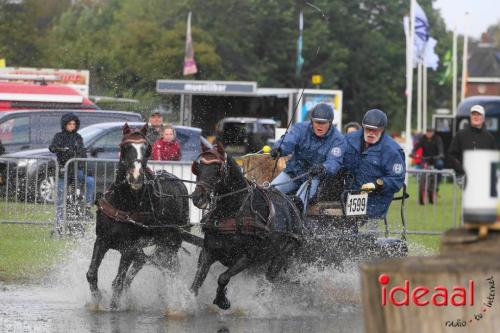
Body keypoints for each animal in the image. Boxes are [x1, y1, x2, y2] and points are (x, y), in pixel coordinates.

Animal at [86, 123, 189, 308]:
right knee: (143, 262)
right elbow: (91, 274)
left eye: (147, 149)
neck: (123, 204)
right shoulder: (102, 239)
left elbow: (118, 282)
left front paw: (114, 306)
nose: (135, 177)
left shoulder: (129, 247)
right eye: (124, 147)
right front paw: (97, 299)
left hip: (170, 243)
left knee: (170, 268)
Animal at [190, 143, 300, 308]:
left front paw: (222, 300)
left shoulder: (247, 257)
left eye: (218, 169)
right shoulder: (208, 251)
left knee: (267, 281)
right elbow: (196, 282)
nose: (197, 197)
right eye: (198, 168)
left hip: (280, 256)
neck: (232, 212)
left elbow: (223, 277)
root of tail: (292, 204)